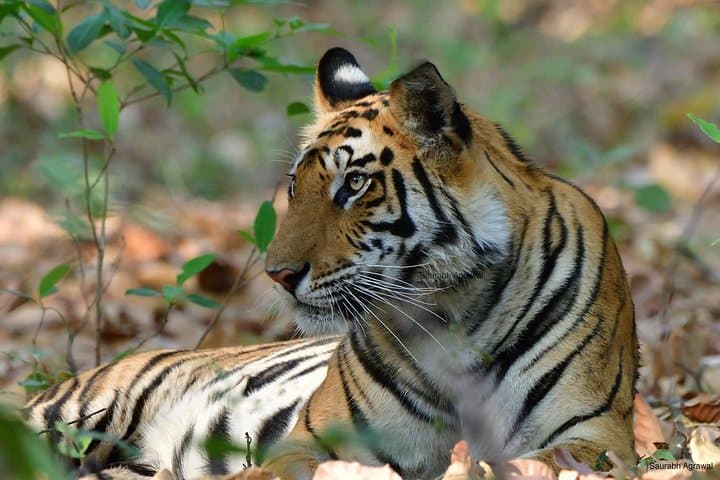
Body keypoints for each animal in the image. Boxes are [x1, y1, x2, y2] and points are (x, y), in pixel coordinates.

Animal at [24, 47, 638, 480]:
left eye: (355, 184)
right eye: (297, 186)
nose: (276, 275)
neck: (451, 316)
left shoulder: (596, 437)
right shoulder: (316, 440)